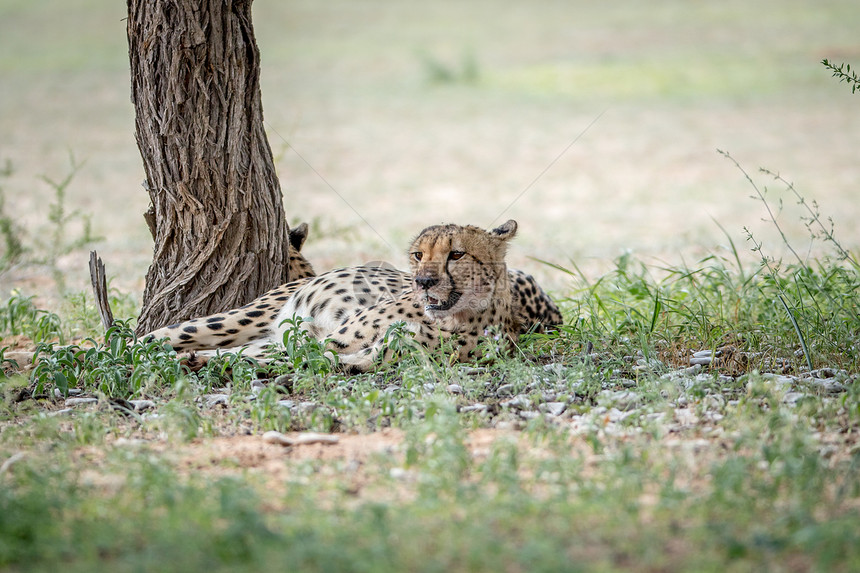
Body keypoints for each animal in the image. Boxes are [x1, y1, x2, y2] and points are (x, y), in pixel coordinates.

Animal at [148, 219, 564, 370]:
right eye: (418, 255)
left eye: (457, 254)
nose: (424, 282)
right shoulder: (332, 339)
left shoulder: (363, 352)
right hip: (240, 319)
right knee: (152, 337)